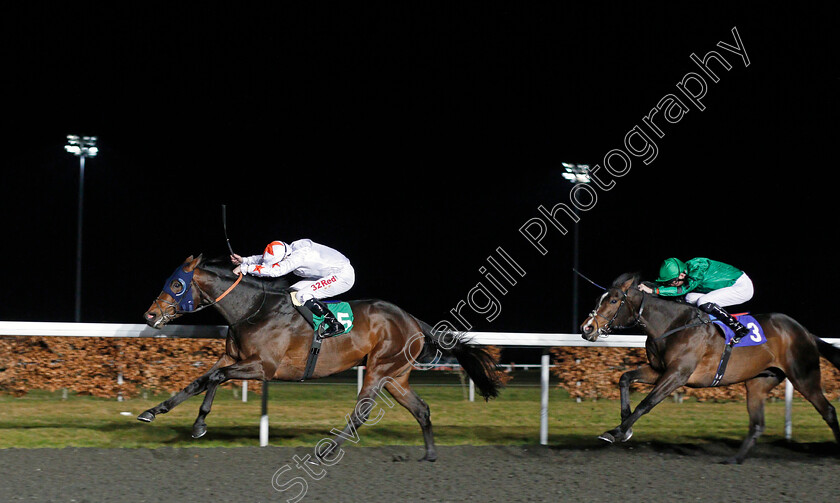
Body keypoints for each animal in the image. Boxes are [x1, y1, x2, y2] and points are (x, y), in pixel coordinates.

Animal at [140, 256, 502, 460]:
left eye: (177, 283)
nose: (149, 315)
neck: (254, 309)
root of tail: (413, 320)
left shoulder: (264, 367)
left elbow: (214, 379)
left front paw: (199, 424)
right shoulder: (232, 357)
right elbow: (198, 381)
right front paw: (153, 411)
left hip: (379, 368)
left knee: (361, 412)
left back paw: (328, 450)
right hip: (395, 375)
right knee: (421, 409)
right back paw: (429, 454)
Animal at [580, 276, 840, 464]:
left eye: (613, 301)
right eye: (599, 299)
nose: (587, 328)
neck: (673, 325)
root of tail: (805, 332)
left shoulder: (678, 374)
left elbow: (646, 403)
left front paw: (617, 431)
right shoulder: (658, 370)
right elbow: (624, 378)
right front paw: (624, 427)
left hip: (803, 376)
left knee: (828, 410)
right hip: (759, 381)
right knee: (757, 423)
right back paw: (735, 459)